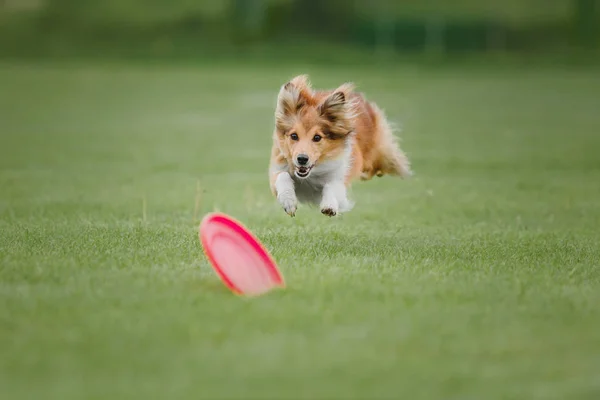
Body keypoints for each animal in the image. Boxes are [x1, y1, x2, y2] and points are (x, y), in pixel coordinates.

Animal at [270, 73, 410, 217]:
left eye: (317, 137)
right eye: (294, 136)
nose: (302, 159)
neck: (311, 174)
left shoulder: (340, 176)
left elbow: (332, 186)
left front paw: (329, 206)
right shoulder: (277, 170)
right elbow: (282, 176)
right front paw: (288, 202)